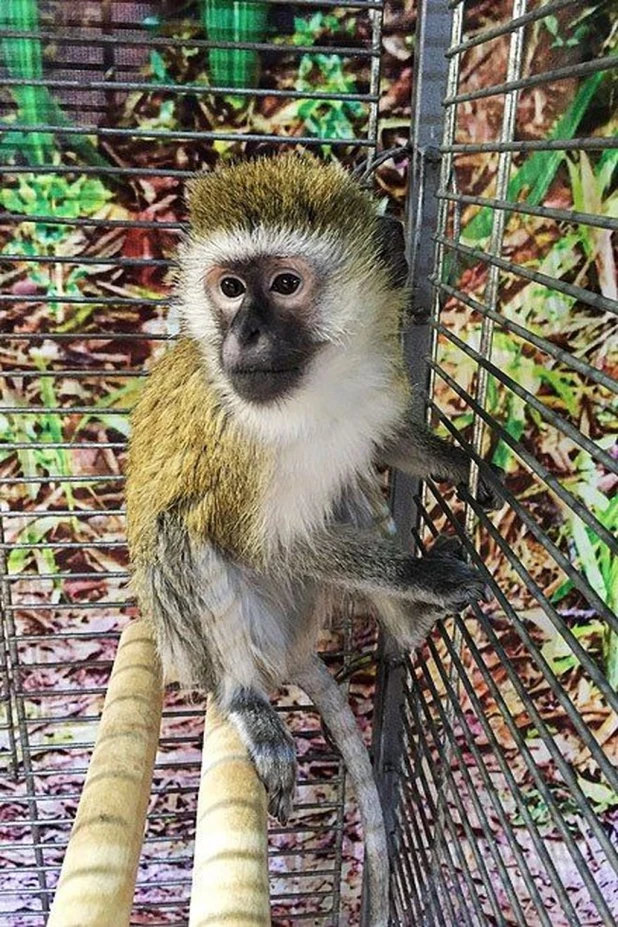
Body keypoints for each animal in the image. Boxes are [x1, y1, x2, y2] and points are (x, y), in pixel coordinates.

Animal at [127, 154, 498, 927]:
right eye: (230, 287)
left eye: (284, 284)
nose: (244, 339)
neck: (319, 389)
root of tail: (291, 648)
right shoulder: (236, 448)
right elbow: (252, 538)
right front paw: (422, 576)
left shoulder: (379, 385)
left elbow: (382, 442)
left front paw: (465, 466)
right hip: (209, 642)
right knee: (184, 529)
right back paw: (247, 700)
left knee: (348, 478)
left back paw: (409, 627)